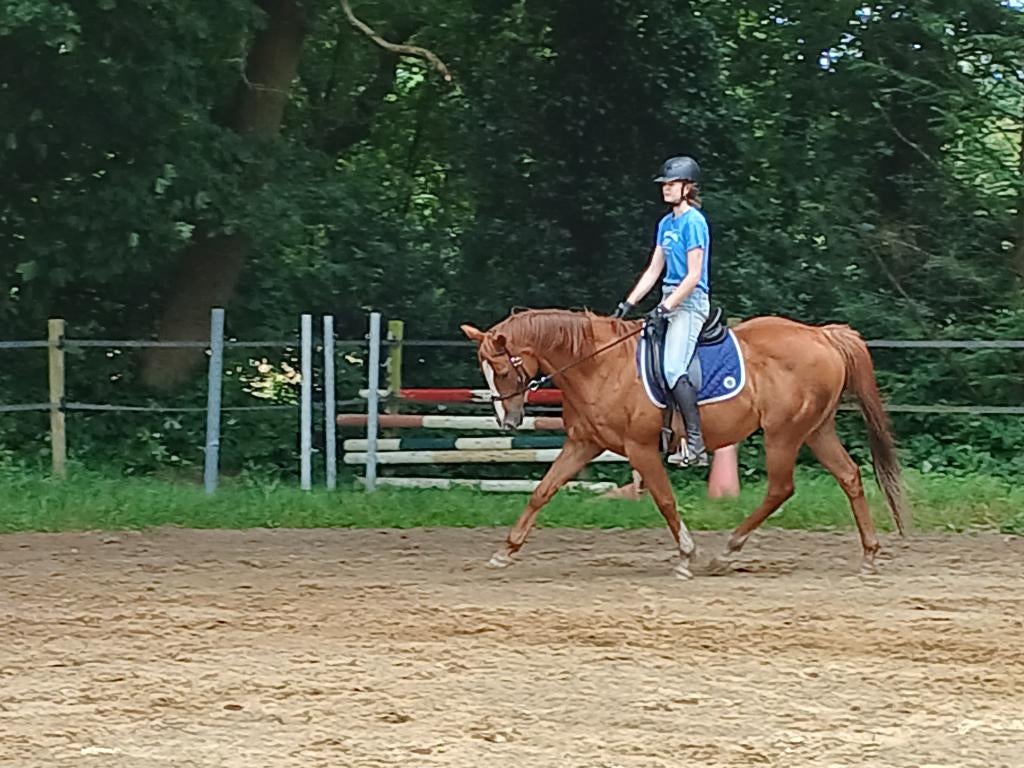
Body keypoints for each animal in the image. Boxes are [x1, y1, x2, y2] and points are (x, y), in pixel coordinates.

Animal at [460, 308, 909, 578]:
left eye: (502, 370)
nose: (506, 420)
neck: (599, 364)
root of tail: (822, 336)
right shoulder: (583, 443)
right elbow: (543, 491)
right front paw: (506, 550)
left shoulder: (640, 448)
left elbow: (664, 500)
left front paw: (687, 555)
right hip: (816, 430)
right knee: (849, 476)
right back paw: (869, 555)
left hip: (784, 434)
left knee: (781, 488)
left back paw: (725, 552)